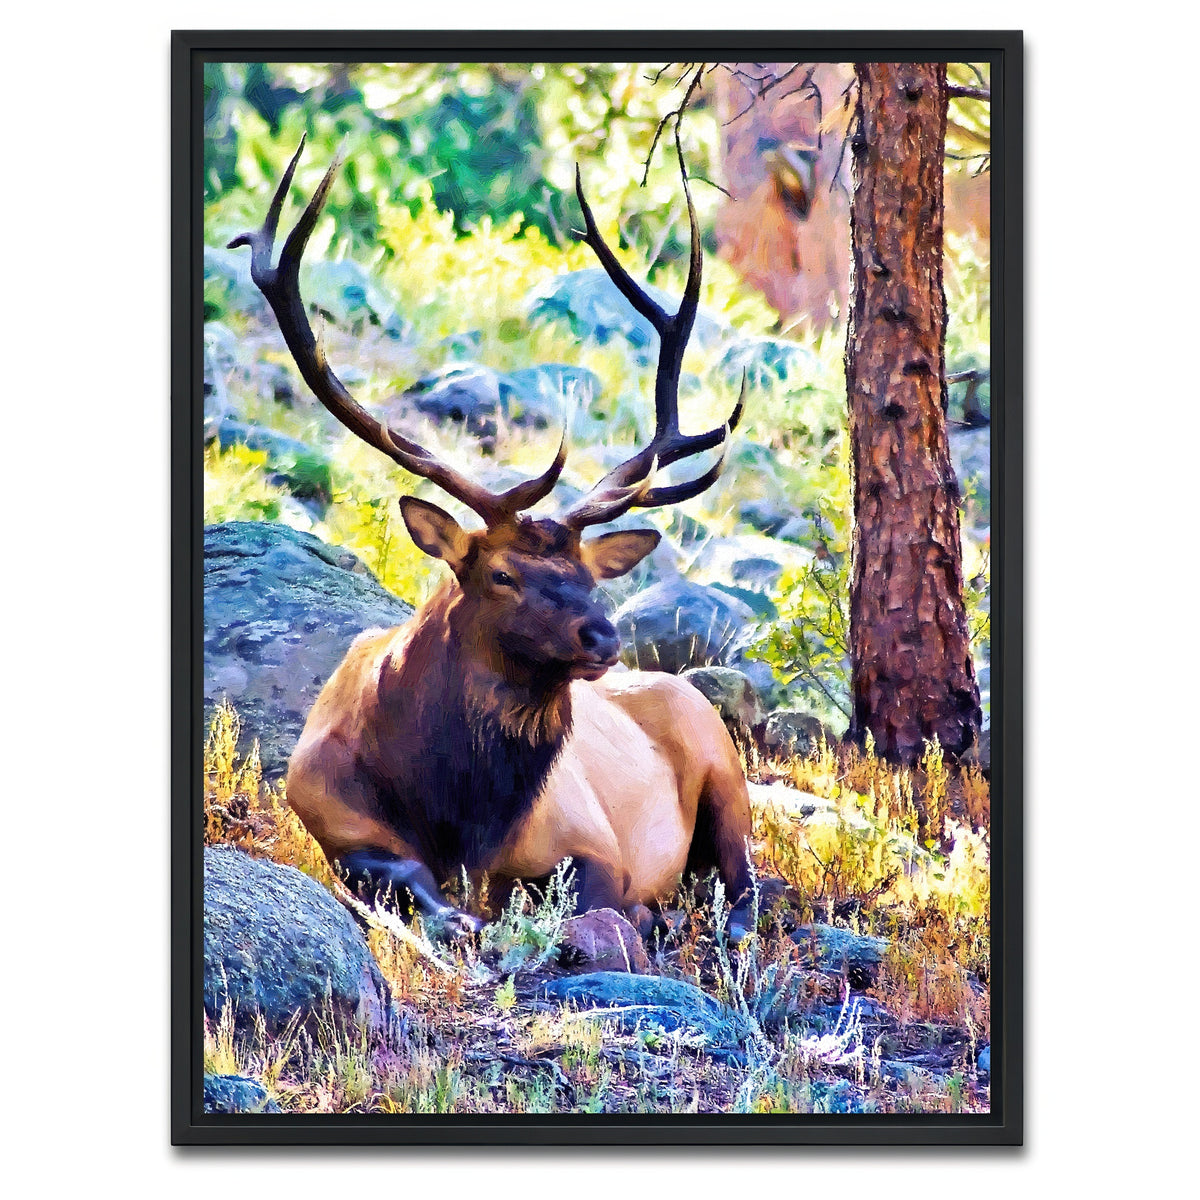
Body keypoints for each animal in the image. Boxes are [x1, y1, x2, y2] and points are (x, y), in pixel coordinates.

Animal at [229, 139, 756, 942]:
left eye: (590, 578)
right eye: (502, 575)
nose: (603, 636)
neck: (458, 816)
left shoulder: (591, 840)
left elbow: (598, 895)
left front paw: (633, 914)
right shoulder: (331, 821)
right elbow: (408, 879)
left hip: (724, 763)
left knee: (750, 883)